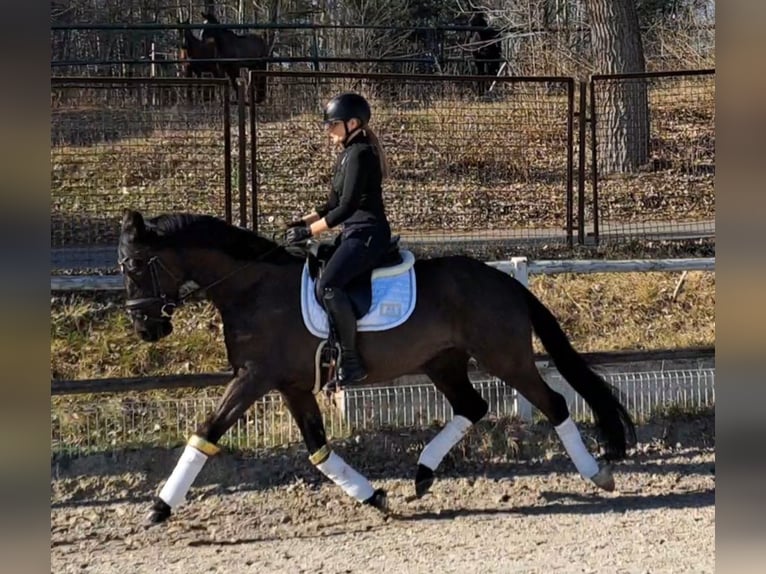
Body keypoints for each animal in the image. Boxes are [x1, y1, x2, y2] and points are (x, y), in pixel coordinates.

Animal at [117, 210, 636, 525]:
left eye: (137, 265)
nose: (145, 327)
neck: (253, 288)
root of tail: (502, 281)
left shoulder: (253, 378)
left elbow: (206, 431)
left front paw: (159, 507)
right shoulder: (291, 385)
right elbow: (318, 449)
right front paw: (374, 496)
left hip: (505, 357)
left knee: (554, 403)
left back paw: (597, 474)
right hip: (443, 362)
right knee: (473, 406)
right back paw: (422, 474)